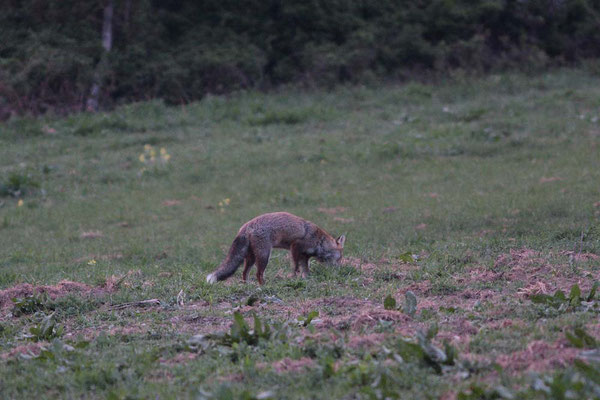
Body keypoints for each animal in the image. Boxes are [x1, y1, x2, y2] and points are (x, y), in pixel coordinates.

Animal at [207, 212, 344, 284]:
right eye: (339, 259)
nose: (339, 269)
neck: (319, 241)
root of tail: (246, 226)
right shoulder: (295, 247)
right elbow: (296, 267)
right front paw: (293, 278)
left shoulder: (304, 256)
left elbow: (305, 270)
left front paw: (307, 279)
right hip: (264, 256)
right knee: (258, 273)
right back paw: (263, 286)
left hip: (251, 258)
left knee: (244, 272)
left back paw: (247, 285)